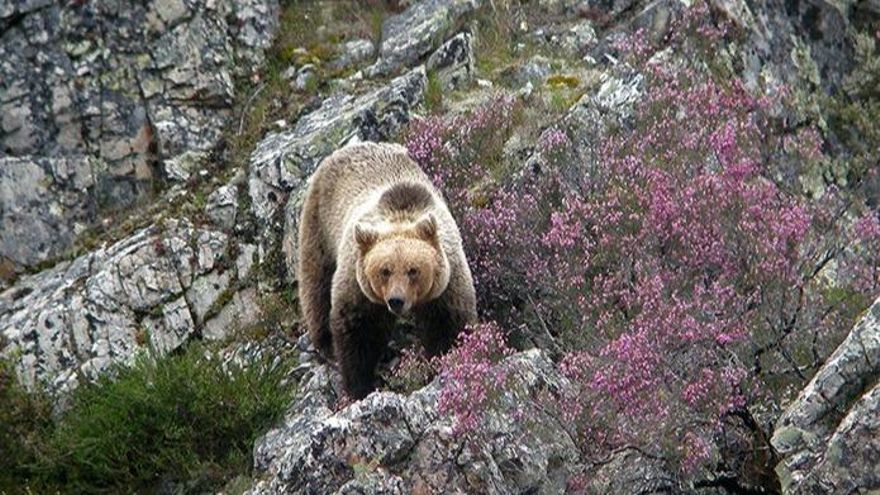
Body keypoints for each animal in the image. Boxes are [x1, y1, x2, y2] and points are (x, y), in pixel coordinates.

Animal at [297, 141, 478, 399]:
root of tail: (347, 147)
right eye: (384, 270)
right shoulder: (358, 284)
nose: (396, 300)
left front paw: (446, 360)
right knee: (316, 283)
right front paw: (360, 386)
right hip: (319, 225)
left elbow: (449, 326)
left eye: (413, 270)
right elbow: (358, 331)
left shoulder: (447, 284)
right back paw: (325, 343)